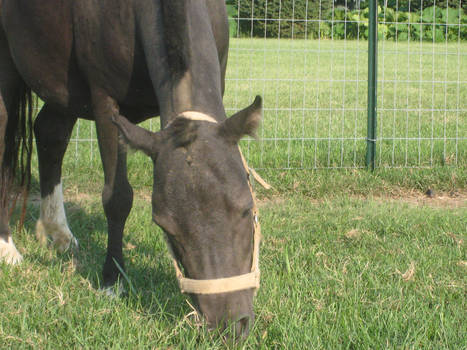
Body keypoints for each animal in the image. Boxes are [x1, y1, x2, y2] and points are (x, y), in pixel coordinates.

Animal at [0, 0, 264, 340]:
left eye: (247, 210)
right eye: (166, 228)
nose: (230, 326)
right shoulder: (105, 103)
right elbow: (117, 198)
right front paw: (113, 279)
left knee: (50, 134)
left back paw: (59, 233)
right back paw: (8, 247)